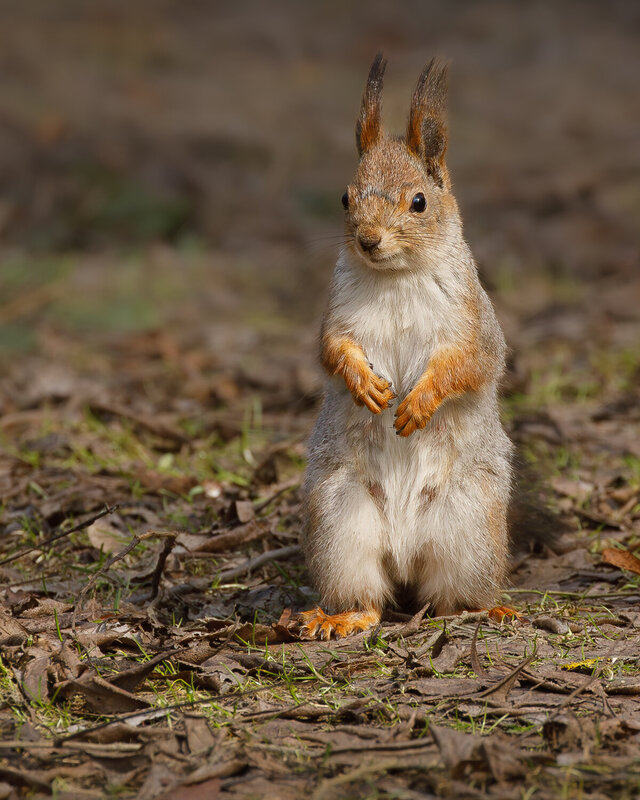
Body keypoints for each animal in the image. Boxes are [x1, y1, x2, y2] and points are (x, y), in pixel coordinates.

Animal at [299, 55, 519, 640]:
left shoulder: (473, 326)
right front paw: (366, 387)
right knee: (369, 596)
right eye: (345, 197)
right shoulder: (339, 316)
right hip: (341, 524)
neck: (395, 276)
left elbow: (468, 365)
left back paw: (485, 609)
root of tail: (403, 554)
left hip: (469, 527)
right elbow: (333, 351)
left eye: (419, 202)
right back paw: (341, 616)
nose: (368, 240)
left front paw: (418, 403)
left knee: (451, 599)